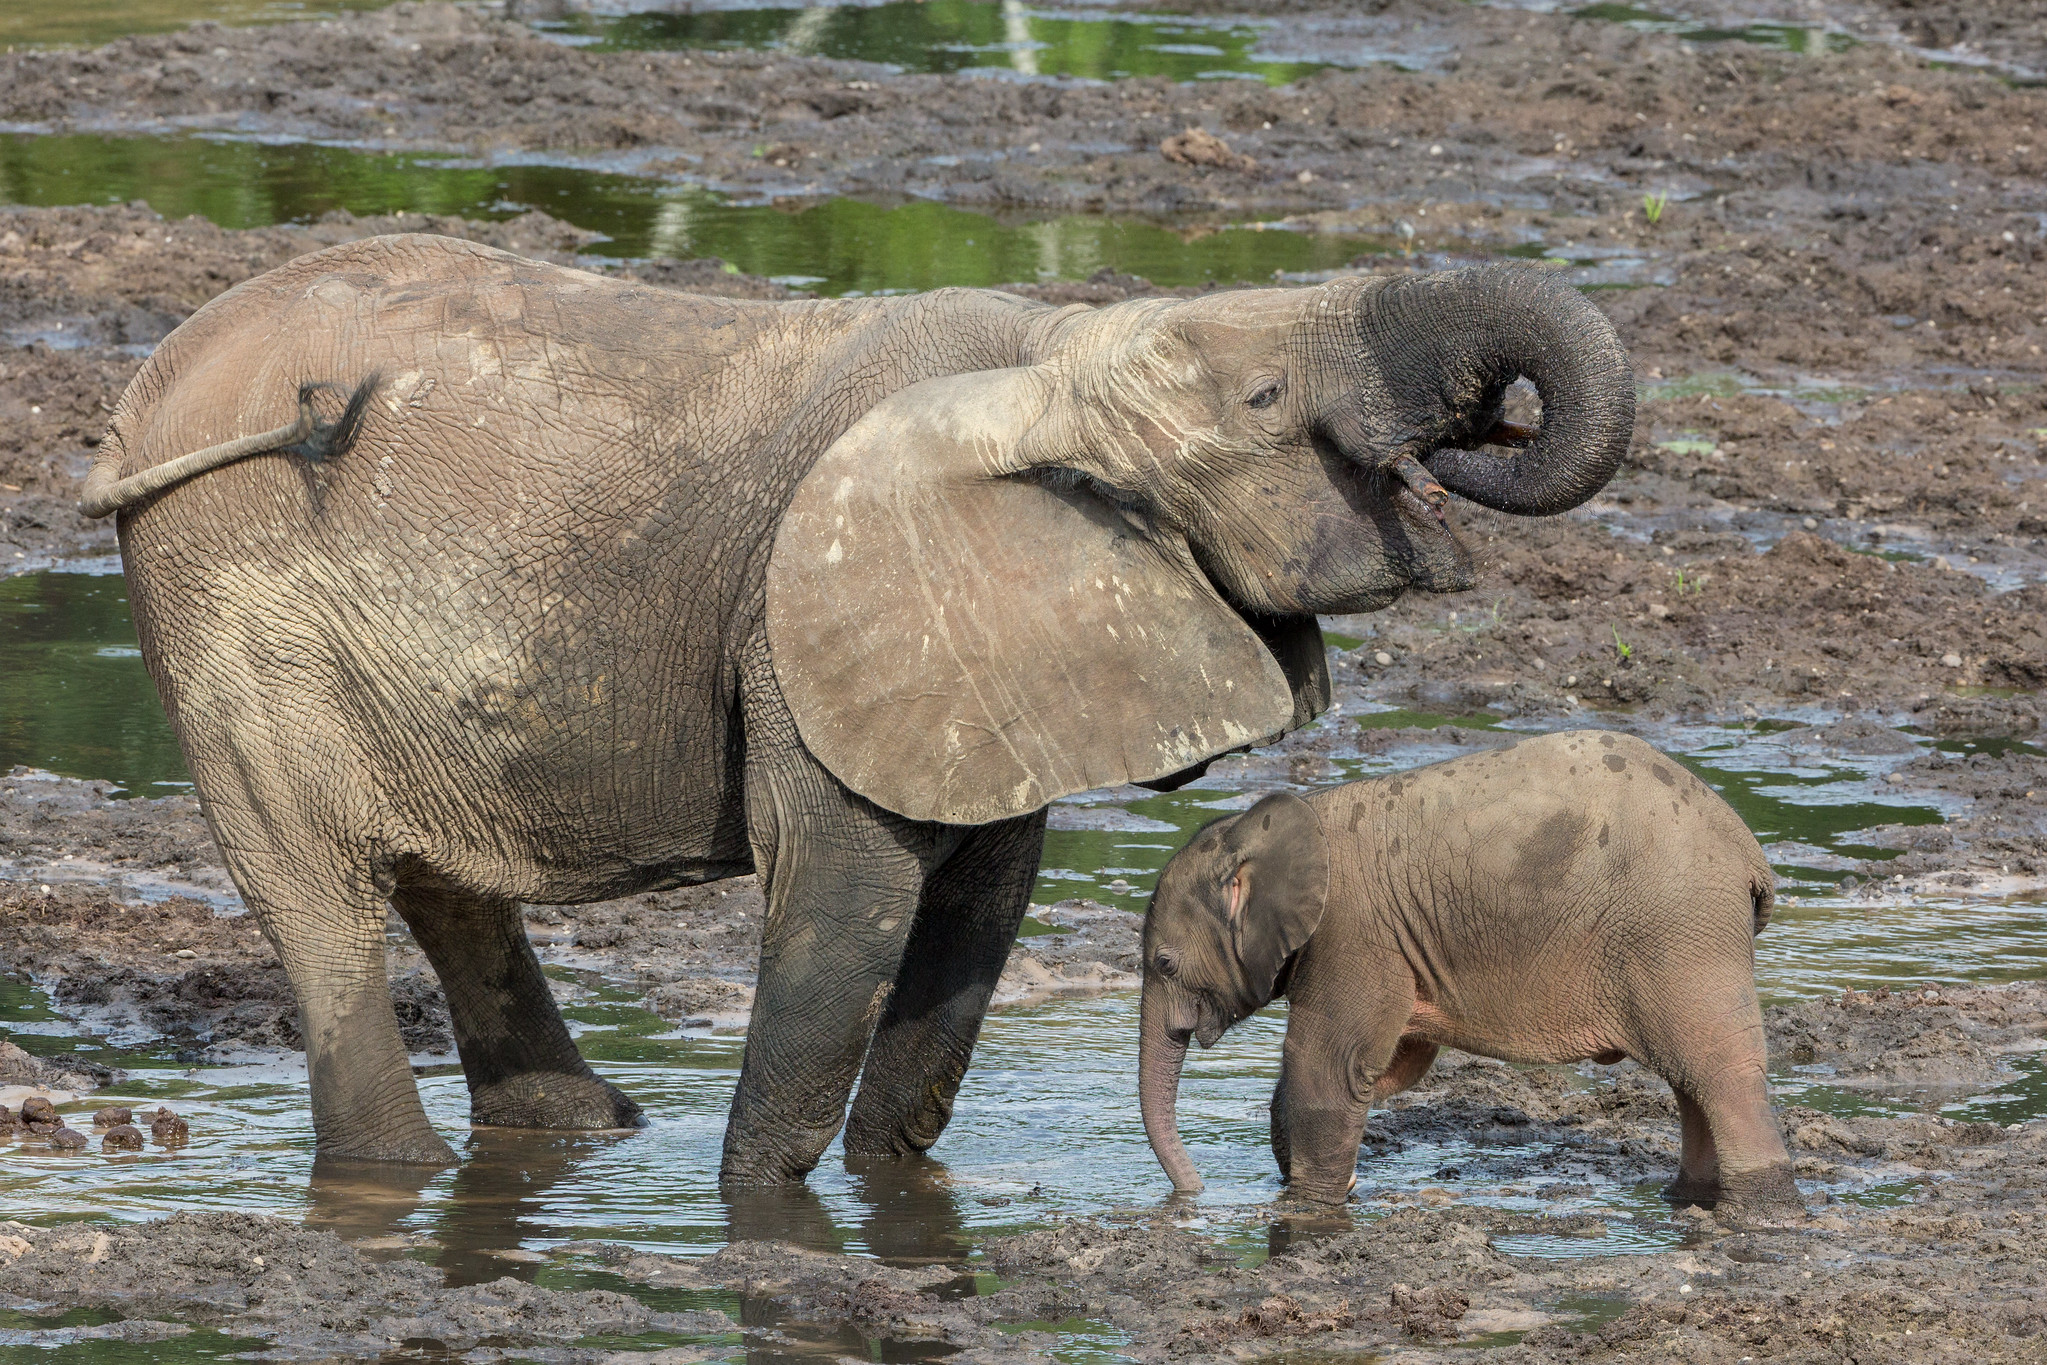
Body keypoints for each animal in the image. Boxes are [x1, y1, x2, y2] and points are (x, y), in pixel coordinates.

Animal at [79, 237, 1629, 1186]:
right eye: (1259, 397)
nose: (1481, 431)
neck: (1046, 358)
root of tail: (140, 399)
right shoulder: (808, 624)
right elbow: (844, 911)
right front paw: (761, 1206)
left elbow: (977, 918)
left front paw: (892, 1179)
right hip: (219, 592)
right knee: (317, 895)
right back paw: (410, 1166)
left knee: (438, 880)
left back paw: (583, 1132)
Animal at [1146, 732, 1801, 1219]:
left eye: (1164, 963)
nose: (1194, 1194)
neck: (1266, 827)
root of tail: (1749, 853)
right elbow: (1390, 1065)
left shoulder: (1353, 934)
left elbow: (1336, 1067)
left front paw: (1308, 1208)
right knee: (1693, 1080)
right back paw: (1688, 1201)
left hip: (1681, 932)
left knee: (1720, 1071)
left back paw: (1757, 1215)